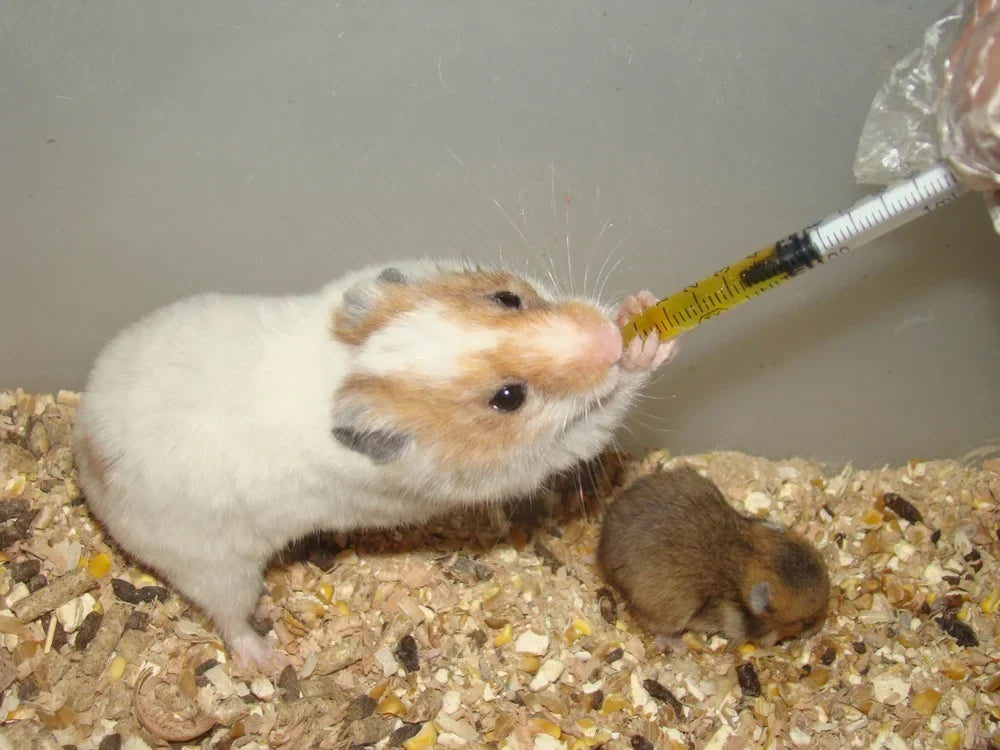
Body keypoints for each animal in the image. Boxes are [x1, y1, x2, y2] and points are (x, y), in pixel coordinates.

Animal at [73, 259, 676, 668]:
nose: (605, 336)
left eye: (508, 298)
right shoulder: (524, 464)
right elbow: (601, 414)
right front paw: (643, 347)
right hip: (218, 569)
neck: (347, 367)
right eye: (508, 398)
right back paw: (270, 658)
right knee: (229, 617)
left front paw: (637, 309)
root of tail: (85, 453)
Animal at [598, 466, 829, 647]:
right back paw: (677, 645)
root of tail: (601, 551)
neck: (746, 558)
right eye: (803, 622)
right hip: (671, 613)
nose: (819, 626)